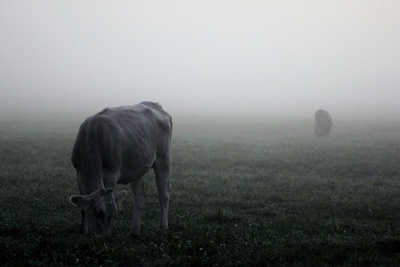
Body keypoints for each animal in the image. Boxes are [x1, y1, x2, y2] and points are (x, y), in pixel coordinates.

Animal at [69, 101, 172, 237]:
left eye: (113, 213)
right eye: (99, 212)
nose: (106, 237)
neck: (93, 134)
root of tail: (155, 105)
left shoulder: (112, 173)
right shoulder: (78, 172)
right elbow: (82, 206)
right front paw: (82, 230)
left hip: (164, 159)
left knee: (163, 194)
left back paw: (163, 226)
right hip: (137, 168)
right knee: (139, 198)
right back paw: (134, 229)